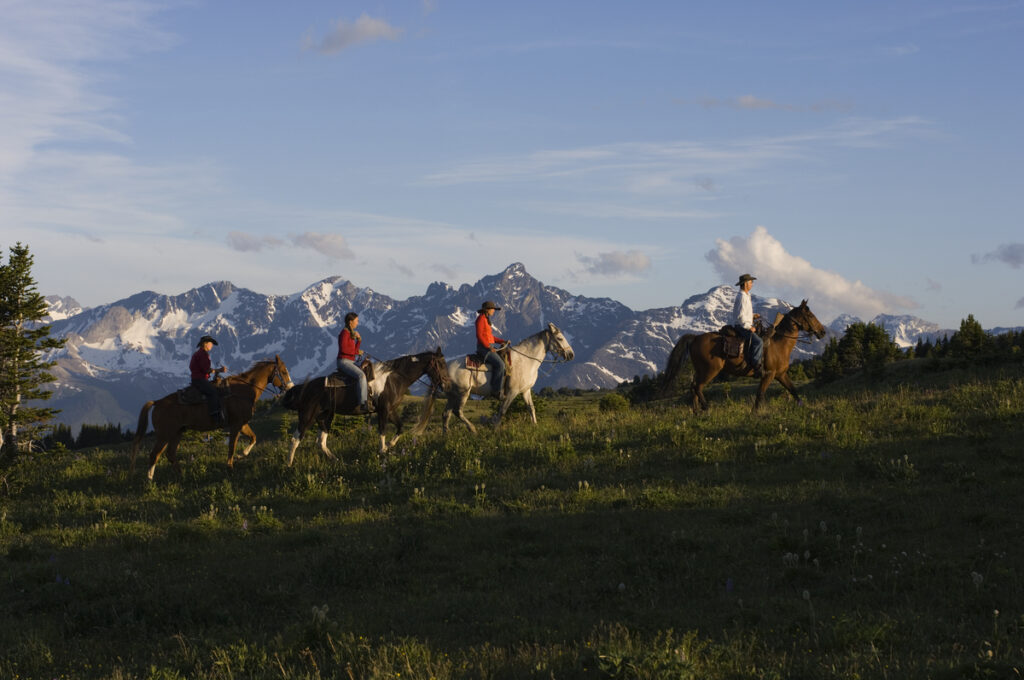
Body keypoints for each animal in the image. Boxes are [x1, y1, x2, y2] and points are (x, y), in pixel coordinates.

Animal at [130, 356, 294, 477]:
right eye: (284, 371)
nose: (290, 388)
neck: (243, 390)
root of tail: (157, 402)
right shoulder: (236, 424)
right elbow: (232, 446)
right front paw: (230, 467)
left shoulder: (242, 424)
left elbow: (253, 438)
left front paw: (241, 455)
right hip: (165, 434)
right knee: (154, 455)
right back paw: (150, 481)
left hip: (177, 432)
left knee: (169, 454)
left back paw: (181, 476)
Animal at [286, 348, 450, 464]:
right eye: (441, 364)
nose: (446, 385)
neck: (394, 379)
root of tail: (305, 387)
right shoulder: (383, 410)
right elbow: (382, 431)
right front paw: (383, 451)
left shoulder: (391, 411)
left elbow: (400, 427)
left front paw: (389, 445)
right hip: (308, 416)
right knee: (296, 439)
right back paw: (289, 465)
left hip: (325, 417)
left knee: (321, 442)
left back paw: (336, 460)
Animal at [442, 321, 577, 432]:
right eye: (560, 338)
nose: (571, 354)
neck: (526, 360)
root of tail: (446, 366)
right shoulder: (512, 391)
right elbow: (502, 411)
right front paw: (495, 430)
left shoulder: (525, 390)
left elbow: (531, 408)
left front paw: (535, 426)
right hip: (463, 392)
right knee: (457, 411)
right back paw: (472, 429)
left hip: (452, 395)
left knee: (446, 414)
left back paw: (446, 434)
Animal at [663, 301, 823, 411]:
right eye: (810, 315)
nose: (822, 332)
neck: (779, 344)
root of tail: (695, 338)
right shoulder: (768, 374)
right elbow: (760, 394)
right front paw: (754, 414)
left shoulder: (780, 374)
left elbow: (793, 390)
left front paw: (803, 406)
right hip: (710, 370)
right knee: (697, 387)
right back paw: (706, 408)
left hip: (700, 370)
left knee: (693, 387)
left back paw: (696, 412)